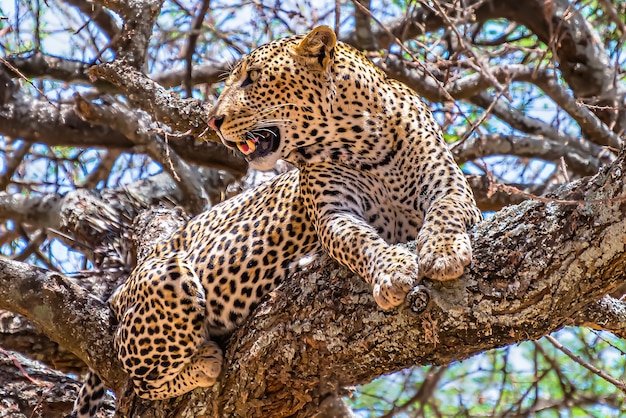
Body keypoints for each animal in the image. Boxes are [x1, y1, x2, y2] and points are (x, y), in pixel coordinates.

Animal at [72, 27, 478, 418]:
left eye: (252, 78)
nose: (213, 121)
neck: (364, 143)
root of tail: (120, 290)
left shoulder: (450, 187)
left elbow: (445, 212)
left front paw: (442, 254)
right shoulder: (334, 215)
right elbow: (359, 241)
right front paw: (392, 270)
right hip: (167, 277)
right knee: (140, 380)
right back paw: (204, 361)